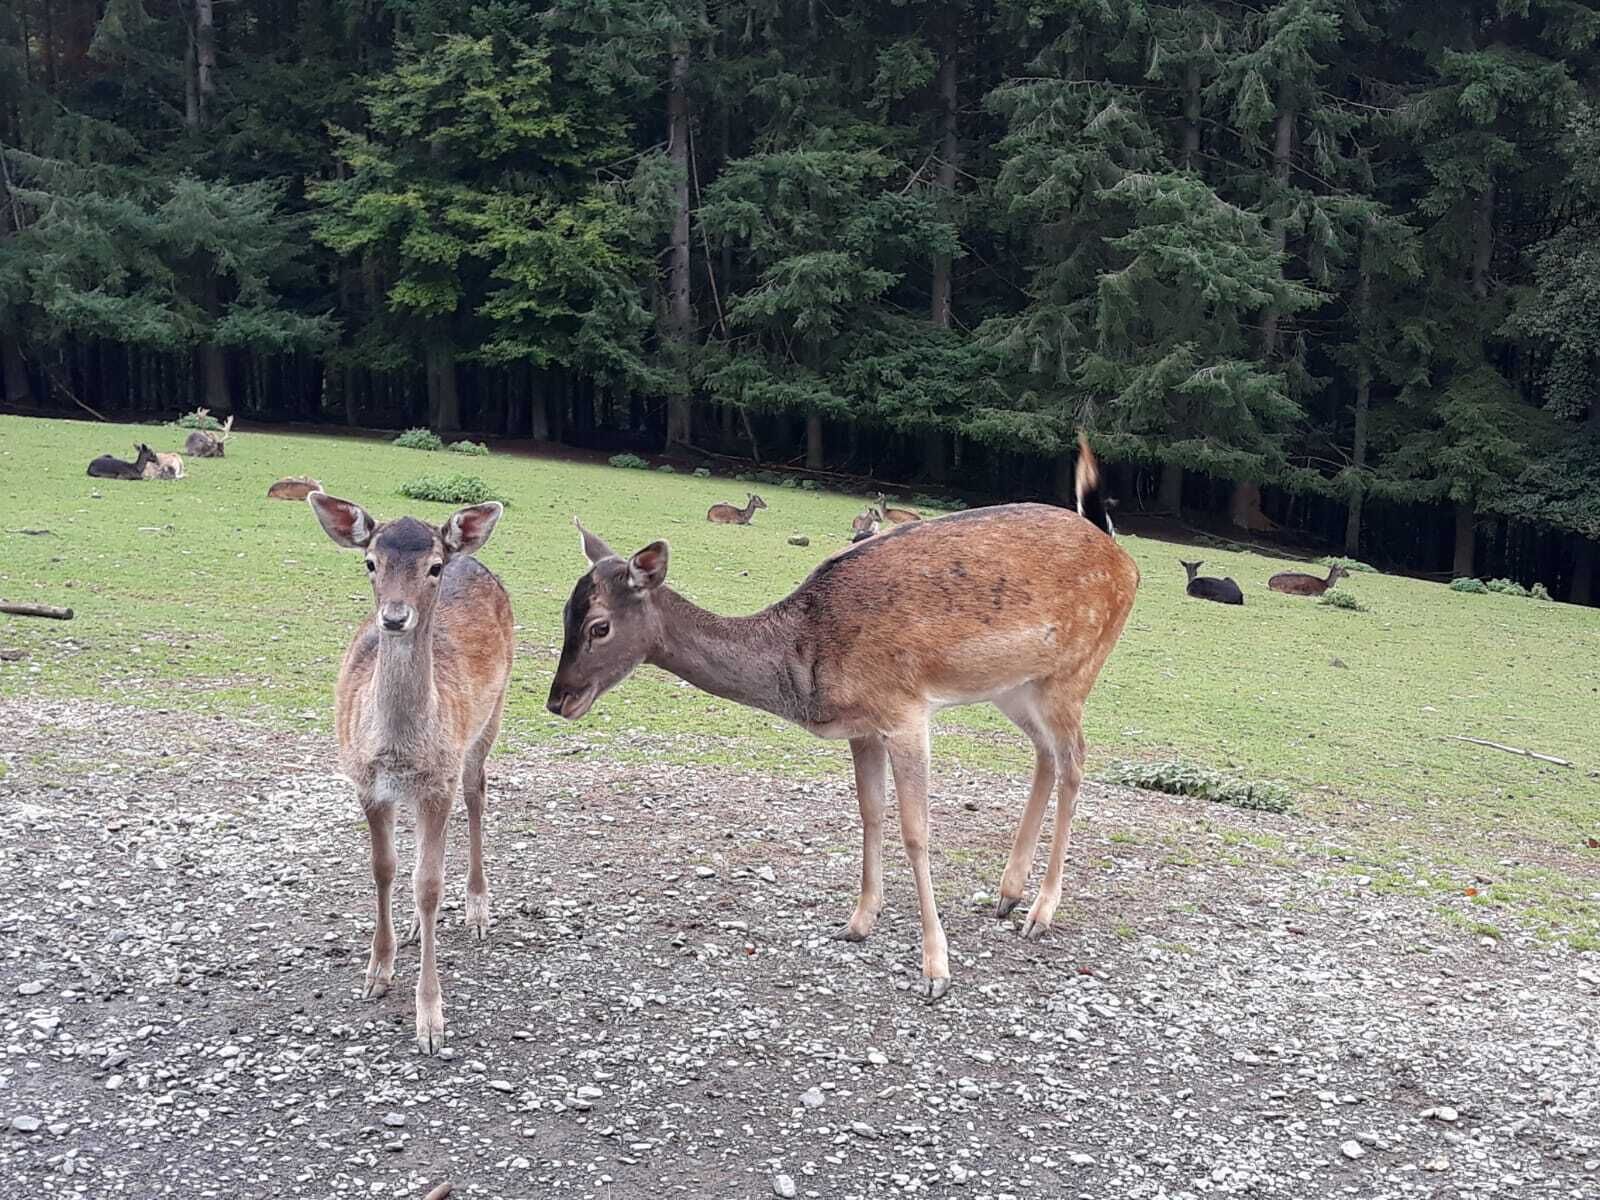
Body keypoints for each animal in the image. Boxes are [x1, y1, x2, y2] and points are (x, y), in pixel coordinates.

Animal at [306, 492, 514, 1054]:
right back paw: (420, 931)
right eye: (370, 562)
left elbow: (428, 885)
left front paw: (431, 1022)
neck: (398, 749)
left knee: (478, 793)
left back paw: (477, 909)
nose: (395, 618)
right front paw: (377, 971)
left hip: (492, 716)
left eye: (433, 567)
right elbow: (385, 868)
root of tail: (471, 554)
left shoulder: (438, 782)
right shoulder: (366, 782)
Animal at [549, 434, 1138, 1002]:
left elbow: (916, 831)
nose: (558, 700)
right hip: (1014, 686)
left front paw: (935, 971)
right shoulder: (863, 728)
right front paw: (858, 922)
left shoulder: (904, 711)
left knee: (1075, 762)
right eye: (564, 613)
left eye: (599, 626)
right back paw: (1008, 894)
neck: (806, 663)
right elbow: (870, 813)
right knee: (1045, 754)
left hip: (1075, 670)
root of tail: (1125, 561)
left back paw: (1040, 913)